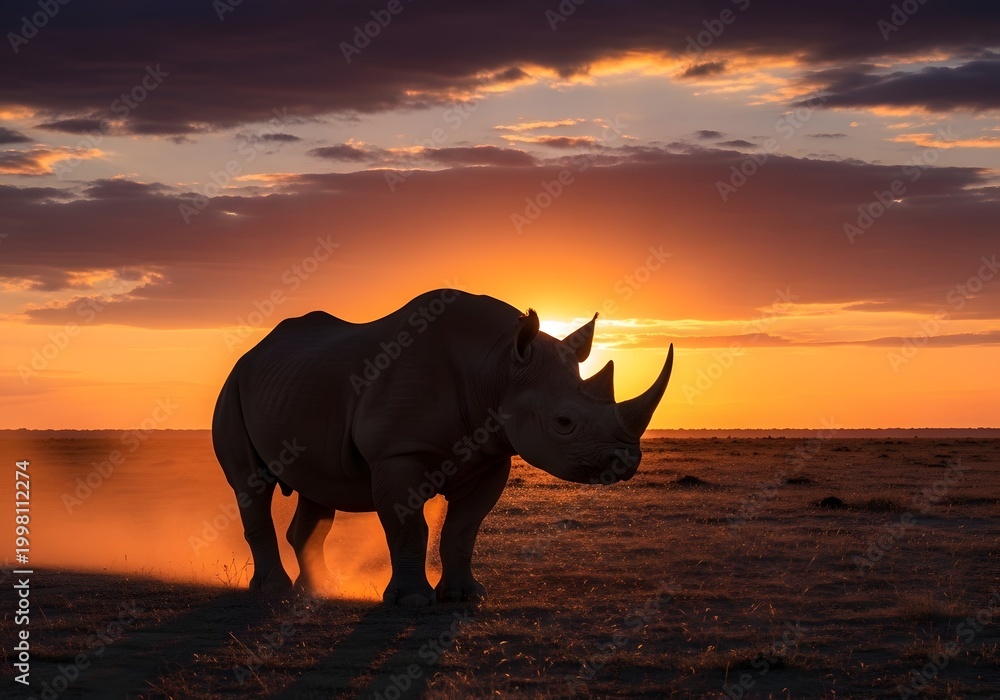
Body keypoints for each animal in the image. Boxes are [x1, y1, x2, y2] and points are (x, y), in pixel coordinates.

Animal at [212, 289, 673, 606]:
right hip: (233, 386)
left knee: (317, 490)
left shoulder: (492, 455)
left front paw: (465, 596)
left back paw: (319, 590)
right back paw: (273, 592)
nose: (626, 462)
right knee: (251, 484)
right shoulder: (397, 452)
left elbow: (463, 529)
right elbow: (409, 528)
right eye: (563, 423)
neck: (497, 366)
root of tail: (251, 353)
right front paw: (412, 601)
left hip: (294, 383)